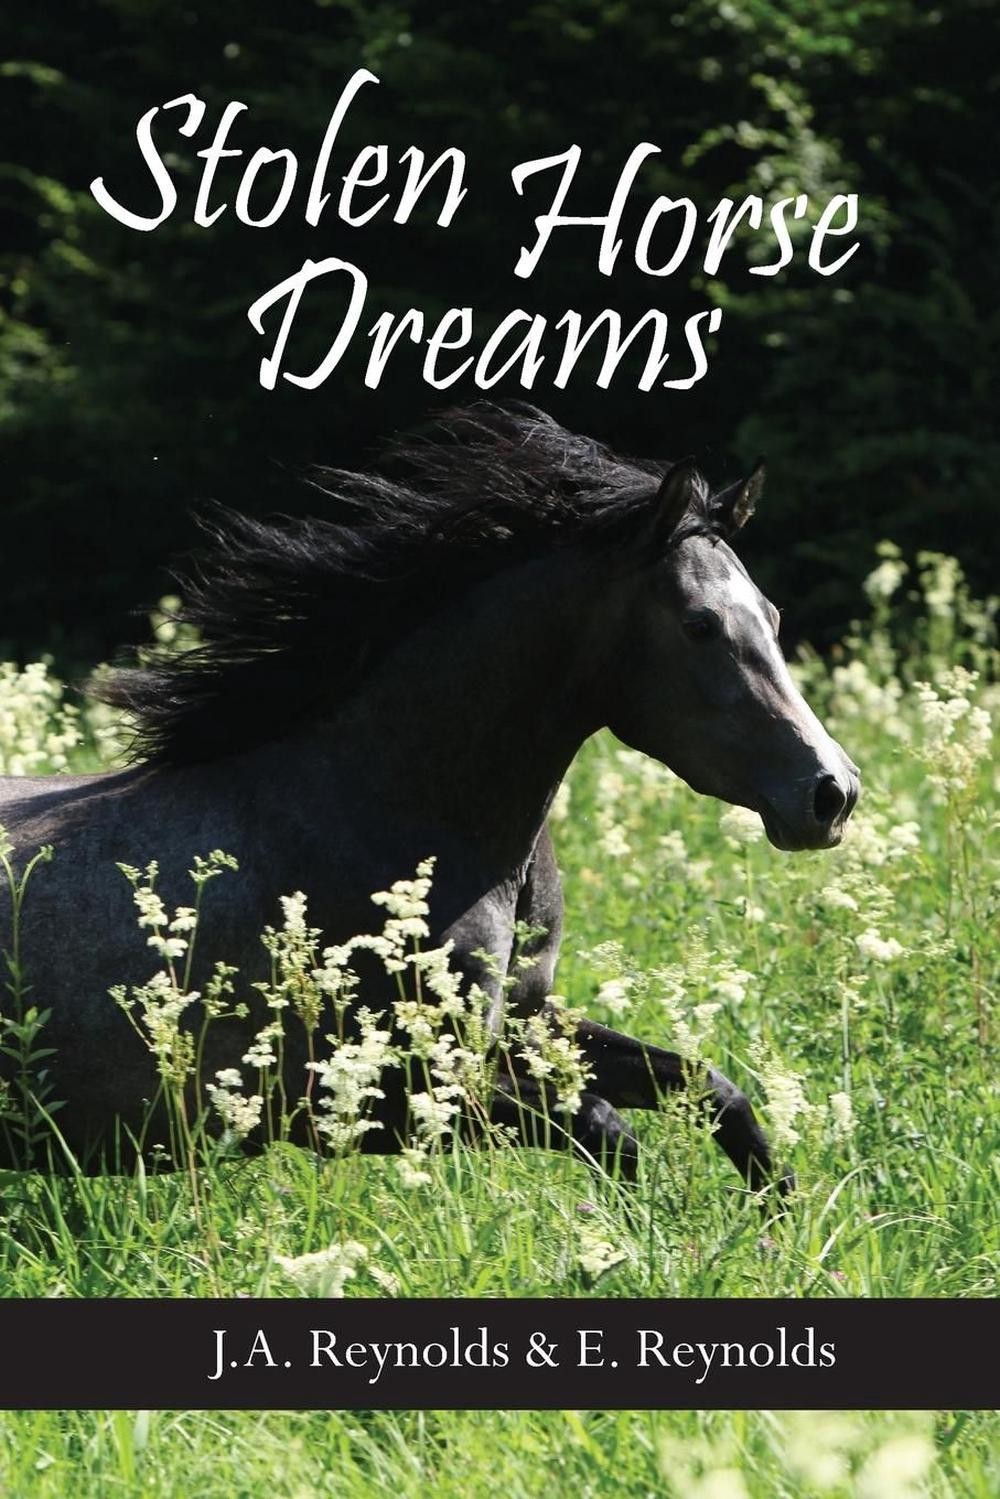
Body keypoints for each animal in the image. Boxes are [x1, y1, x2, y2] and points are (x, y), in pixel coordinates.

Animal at [0, 404, 859, 1194]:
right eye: (700, 624)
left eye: (772, 615)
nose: (832, 793)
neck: (385, 807)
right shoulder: (370, 1095)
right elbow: (604, 1129)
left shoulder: (517, 1021)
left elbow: (711, 1089)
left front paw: (779, 1227)